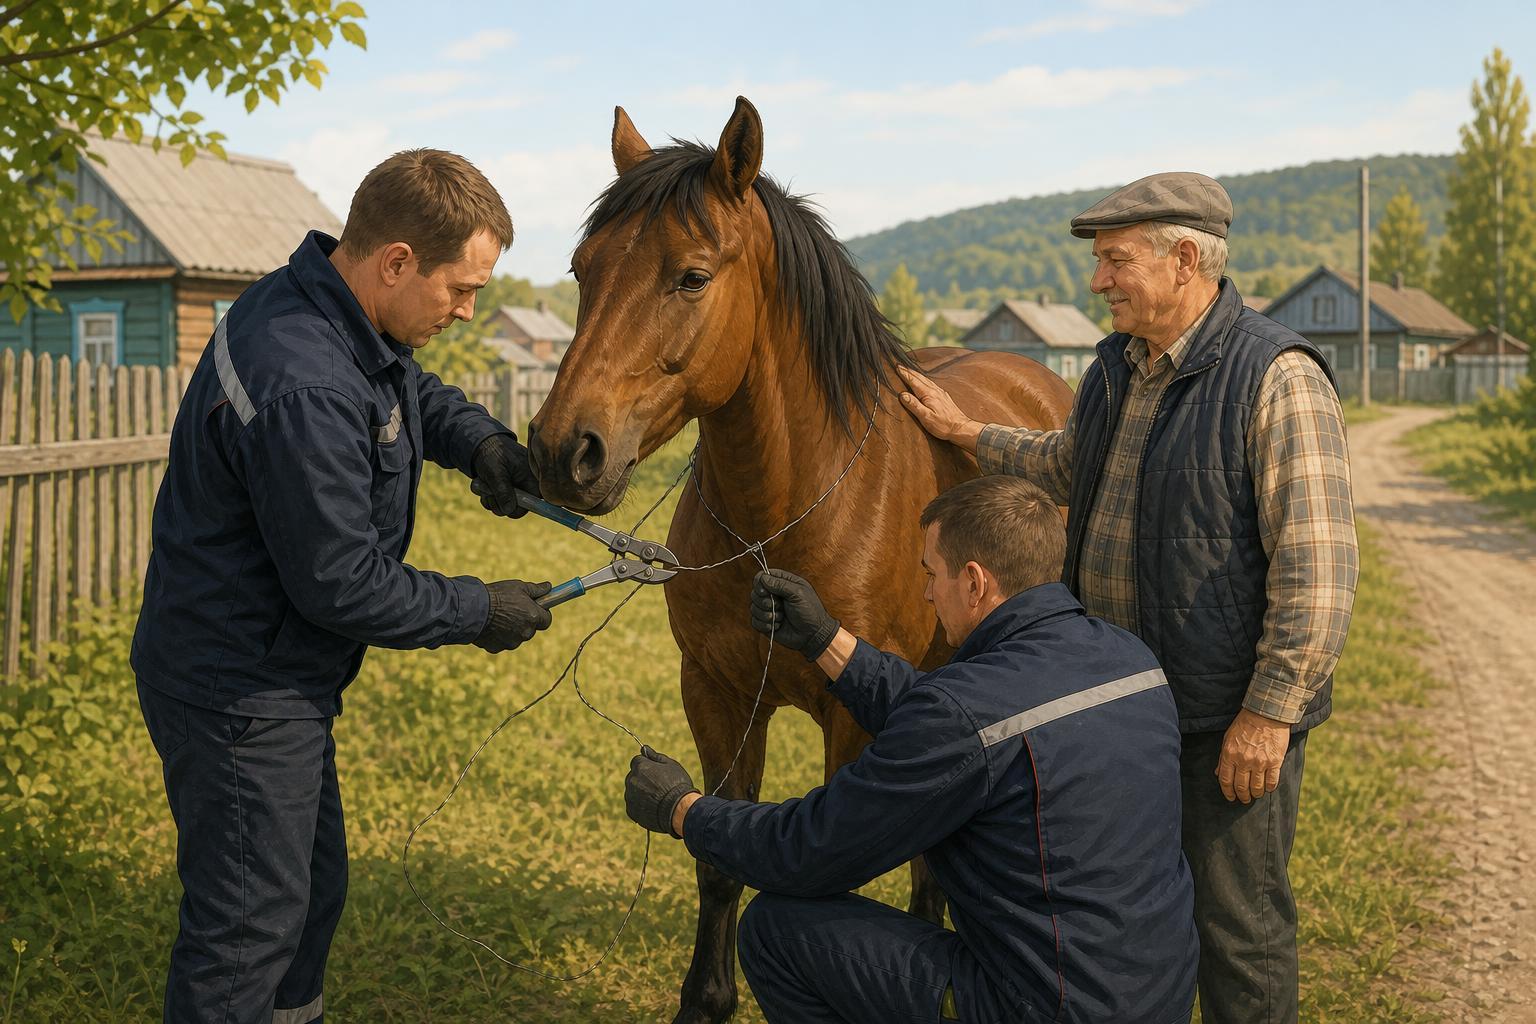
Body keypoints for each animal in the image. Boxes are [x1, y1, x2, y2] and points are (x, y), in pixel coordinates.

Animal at [529, 97, 1073, 1024]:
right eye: (581, 269)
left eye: (692, 277)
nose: (566, 452)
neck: (779, 517)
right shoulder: (715, 697)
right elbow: (717, 858)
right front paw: (706, 999)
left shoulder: (853, 719)